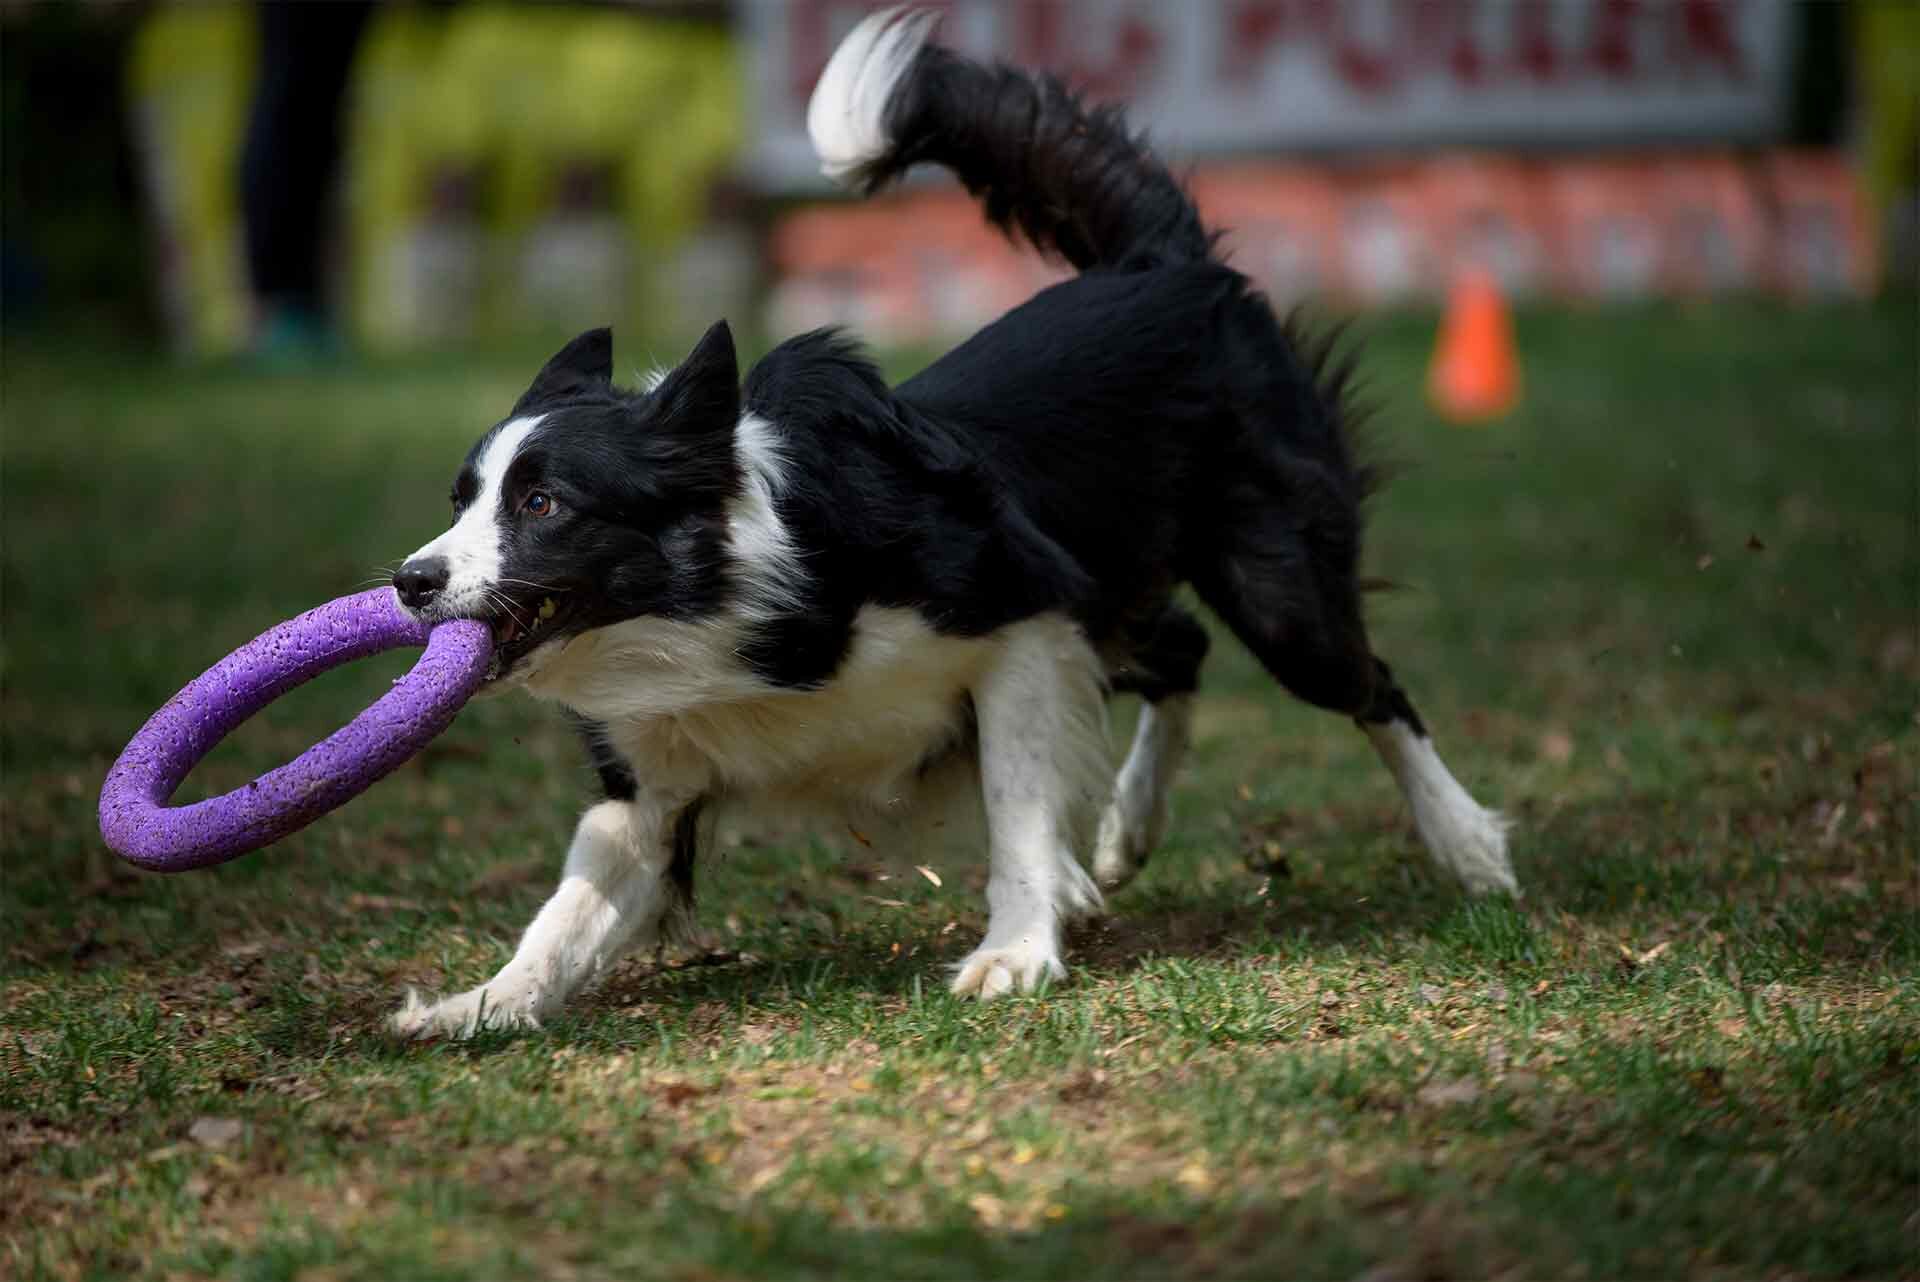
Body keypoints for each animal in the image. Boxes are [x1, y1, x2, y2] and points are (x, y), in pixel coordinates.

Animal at [385, 7, 1512, 1044]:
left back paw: (1466, 844)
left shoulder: (1019, 622)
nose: (409, 580)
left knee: (1368, 684)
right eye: (461, 499)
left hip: (1273, 582)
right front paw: (478, 1004)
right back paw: (1129, 829)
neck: (718, 597)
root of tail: (1165, 264)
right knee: (1184, 646)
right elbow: (570, 906)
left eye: (543, 504)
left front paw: (1014, 953)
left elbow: (1016, 806)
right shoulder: (651, 777)